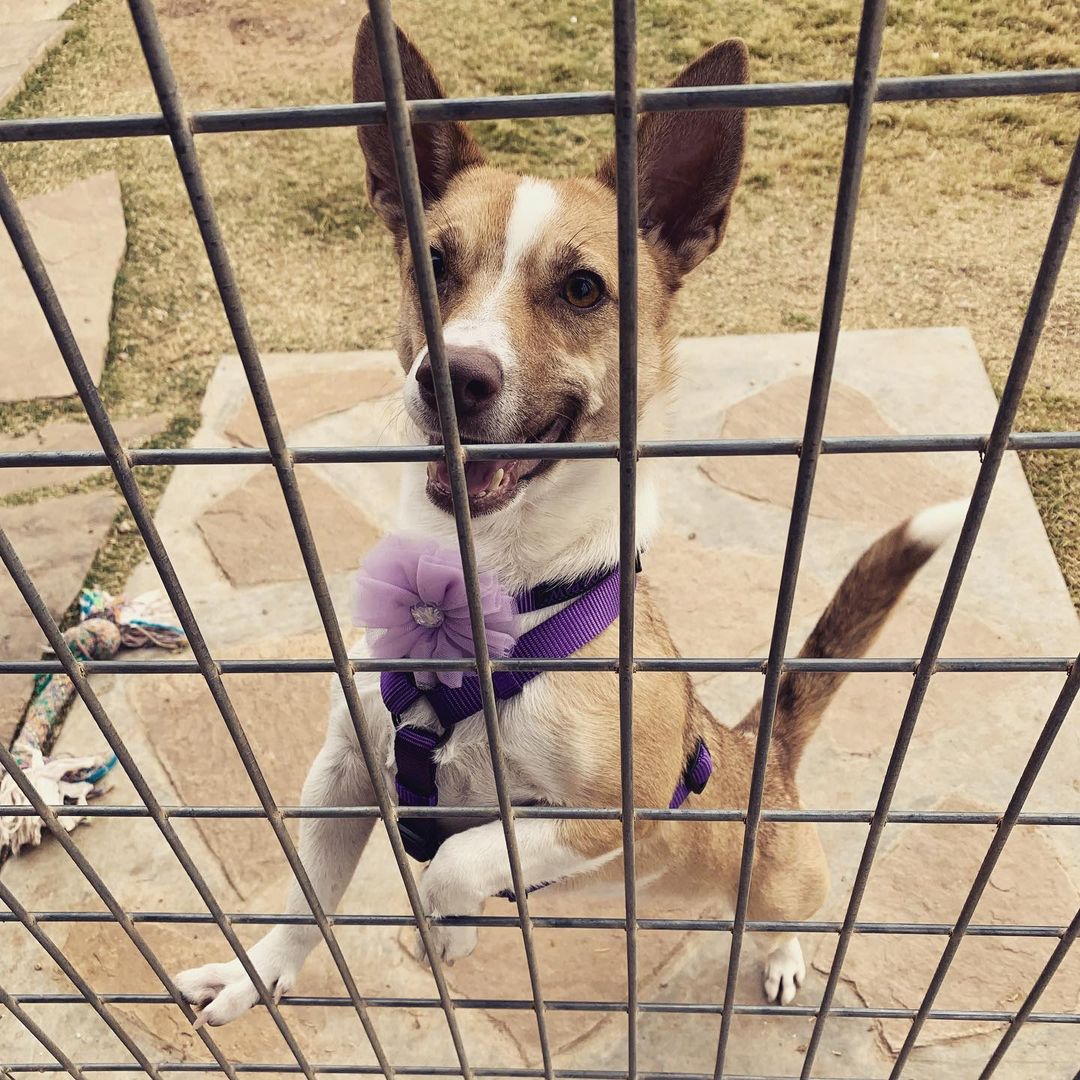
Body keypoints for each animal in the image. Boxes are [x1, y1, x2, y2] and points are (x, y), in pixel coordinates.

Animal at [174, 19, 963, 1028]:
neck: (478, 598)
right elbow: (306, 898)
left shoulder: (610, 809)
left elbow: (455, 860)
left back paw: (781, 955)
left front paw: (450, 919)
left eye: (584, 289)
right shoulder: (344, 772)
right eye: (433, 263)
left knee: (785, 916)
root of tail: (760, 752)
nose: (452, 376)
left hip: (787, 877)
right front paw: (256, 977)